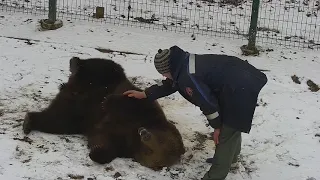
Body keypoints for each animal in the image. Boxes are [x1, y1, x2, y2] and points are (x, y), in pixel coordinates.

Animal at [22, 56, 186, 170]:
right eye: (160, 141)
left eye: (154, 148)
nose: (144, 132)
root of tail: (71, 89)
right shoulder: (145, 112)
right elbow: (133, 101)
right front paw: (106, 101)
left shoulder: (121, 140)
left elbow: (104, 142)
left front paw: (95, 153)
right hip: (103, 78)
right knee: (104, 67)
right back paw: (76, 63)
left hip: (77, 115)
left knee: (57, 120)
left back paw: (29, 121)